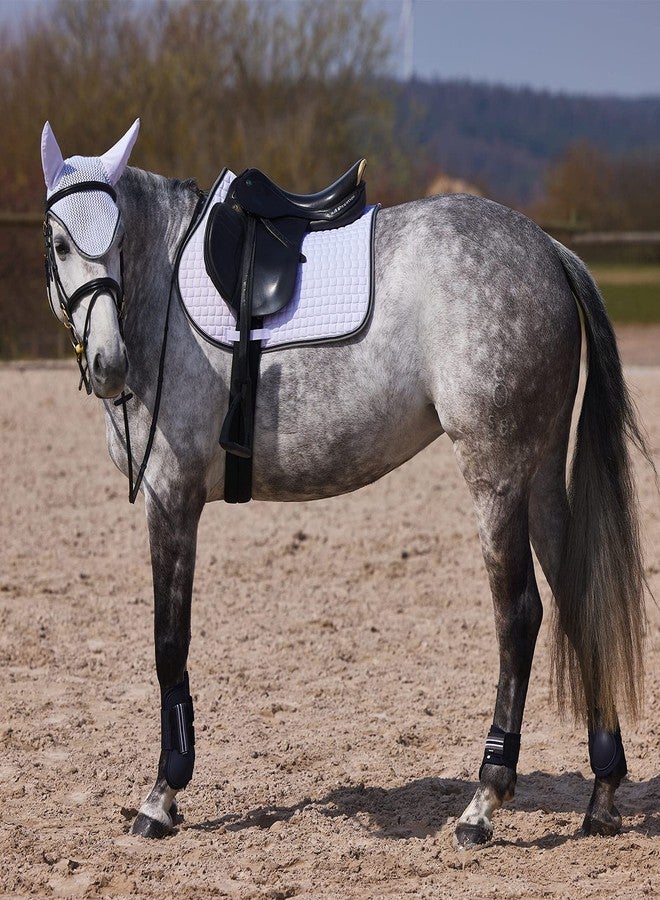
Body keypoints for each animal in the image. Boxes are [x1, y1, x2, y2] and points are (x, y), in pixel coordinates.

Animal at [40, 120, 650, 846]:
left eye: (115, 240)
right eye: (60, 243)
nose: (108, 363)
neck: (160, 291)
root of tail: (548, 249)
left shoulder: (172, 496)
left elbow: (169, 642)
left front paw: (162, 795)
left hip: (497, 474)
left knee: (520, 613)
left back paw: (484, 800)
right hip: (541, 474)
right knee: (577, 592)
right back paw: (603, 791)